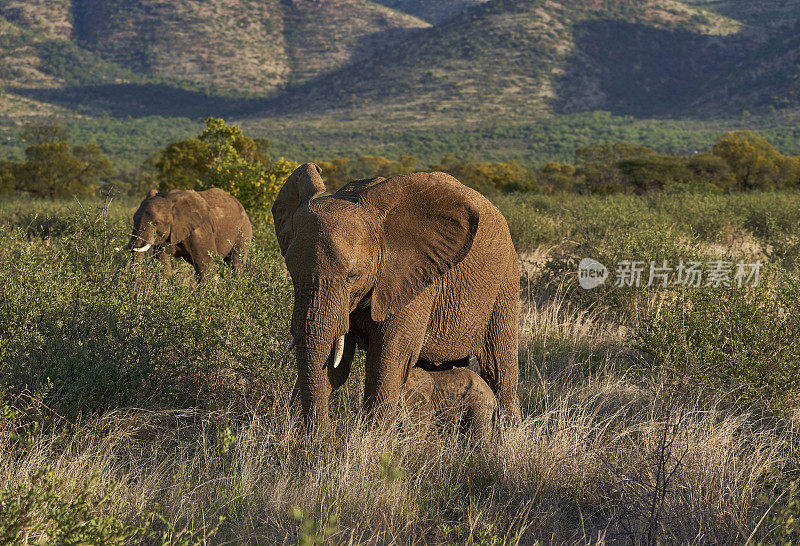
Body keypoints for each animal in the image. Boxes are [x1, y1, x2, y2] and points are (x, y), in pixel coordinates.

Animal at [276, 162, 520, 430]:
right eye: (290, 270)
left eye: (353, 275)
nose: (325, 438)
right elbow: (334, 365)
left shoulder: (416, 278)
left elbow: (387, 358)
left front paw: (373, 439)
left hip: (505, 281)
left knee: (500, 369)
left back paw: (509, 435)